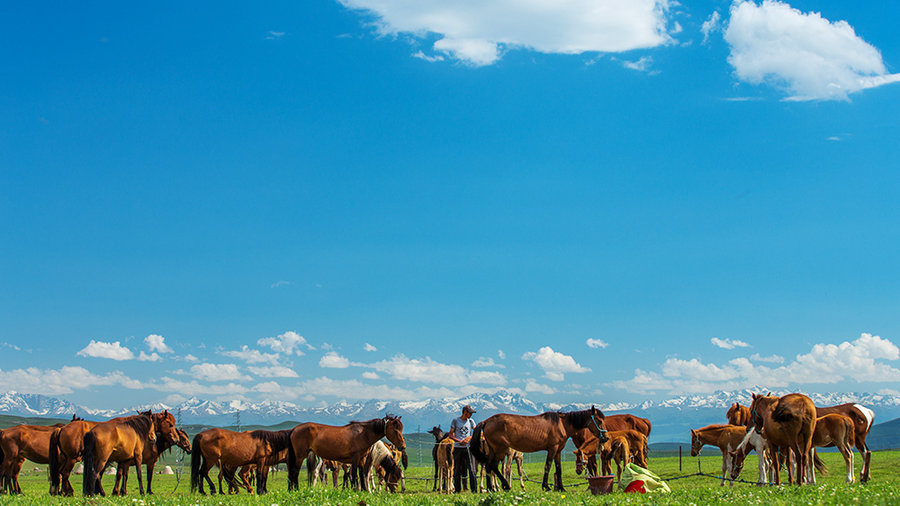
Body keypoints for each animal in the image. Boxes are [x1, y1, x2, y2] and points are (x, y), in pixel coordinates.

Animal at [472, 406, 604, 492]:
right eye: (599, 420)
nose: (605, 437)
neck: (562, 424)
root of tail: (486, 421)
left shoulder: (558, 451)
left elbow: (558, 469)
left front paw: (561, 488)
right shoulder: (552, 449)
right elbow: (547, 466)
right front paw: (546, 486)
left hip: (493, 450)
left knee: (488, 466)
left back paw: (491, 488)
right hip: (501, 450)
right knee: (494, 466)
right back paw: (505, 486)